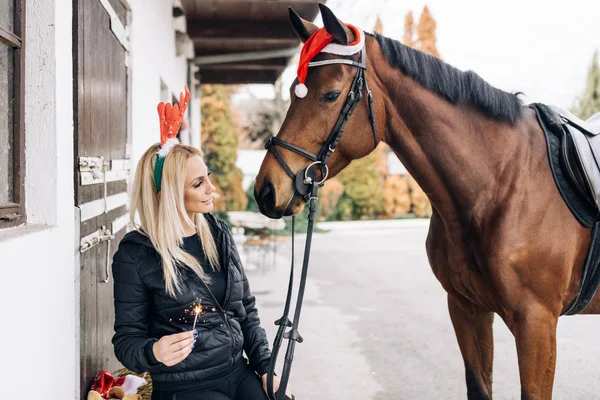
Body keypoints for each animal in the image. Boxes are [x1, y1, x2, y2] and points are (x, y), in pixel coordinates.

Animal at [252, 3, 600, 400]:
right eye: (294, 92)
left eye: (330, 94)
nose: (267, 190)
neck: (502, 182)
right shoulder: (467, 309)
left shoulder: (536, 323)